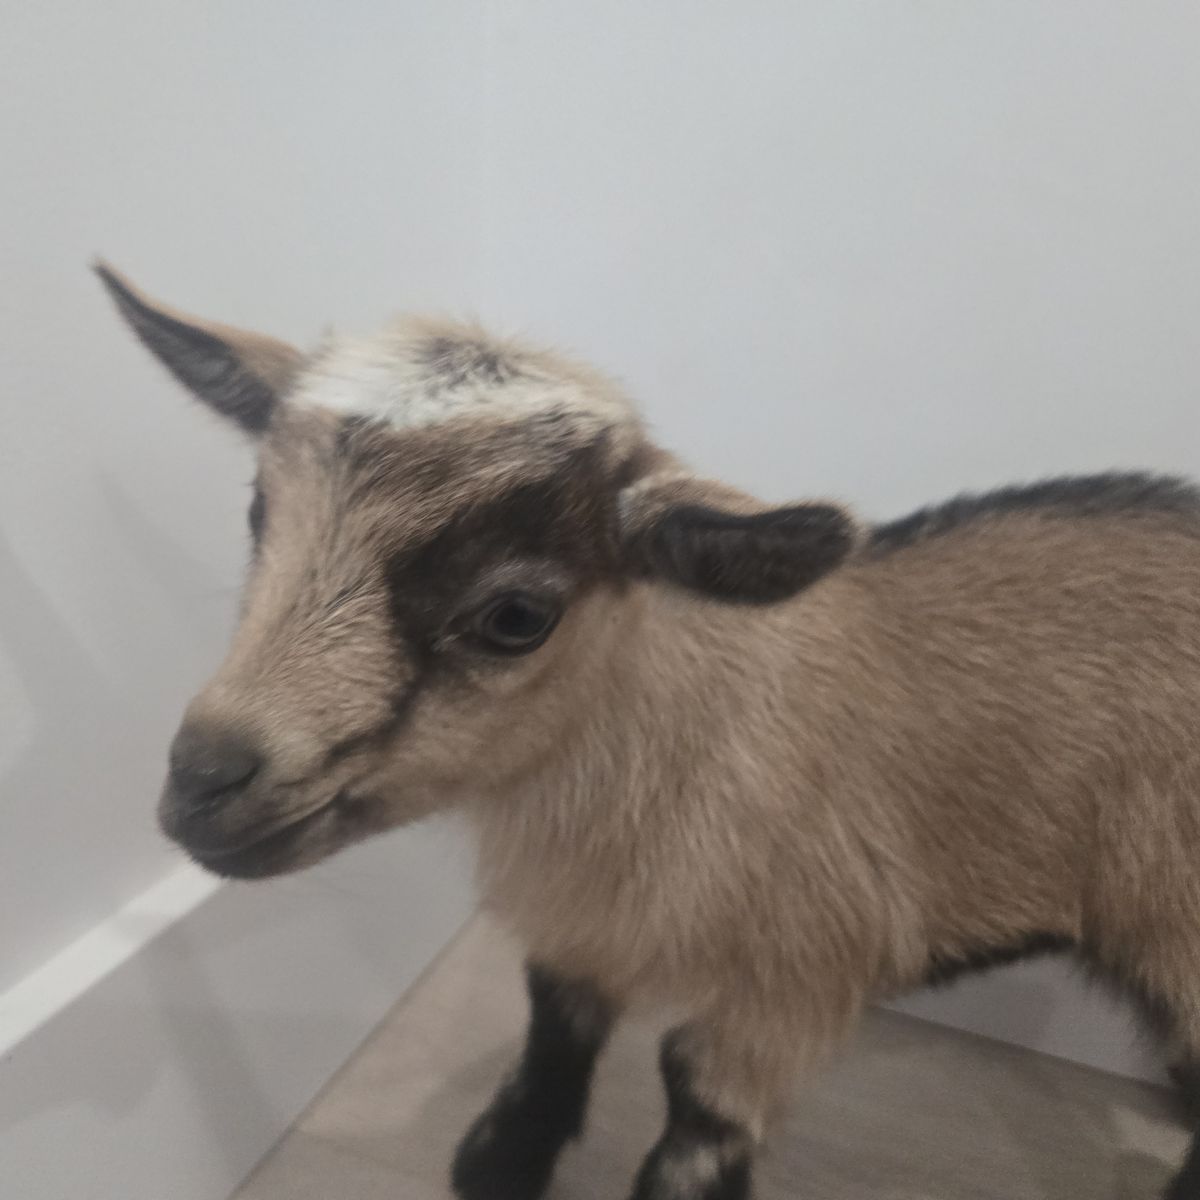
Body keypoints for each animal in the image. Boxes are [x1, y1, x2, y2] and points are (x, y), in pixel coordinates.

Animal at [99, 263, 1200, 1200]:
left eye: (516, 616)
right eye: (259, 514)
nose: (202, 783)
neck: (684, 734)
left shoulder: (790, 986)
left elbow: (693, 1114)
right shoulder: (581, 927)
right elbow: (553, 1030)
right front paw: (497, 1163)